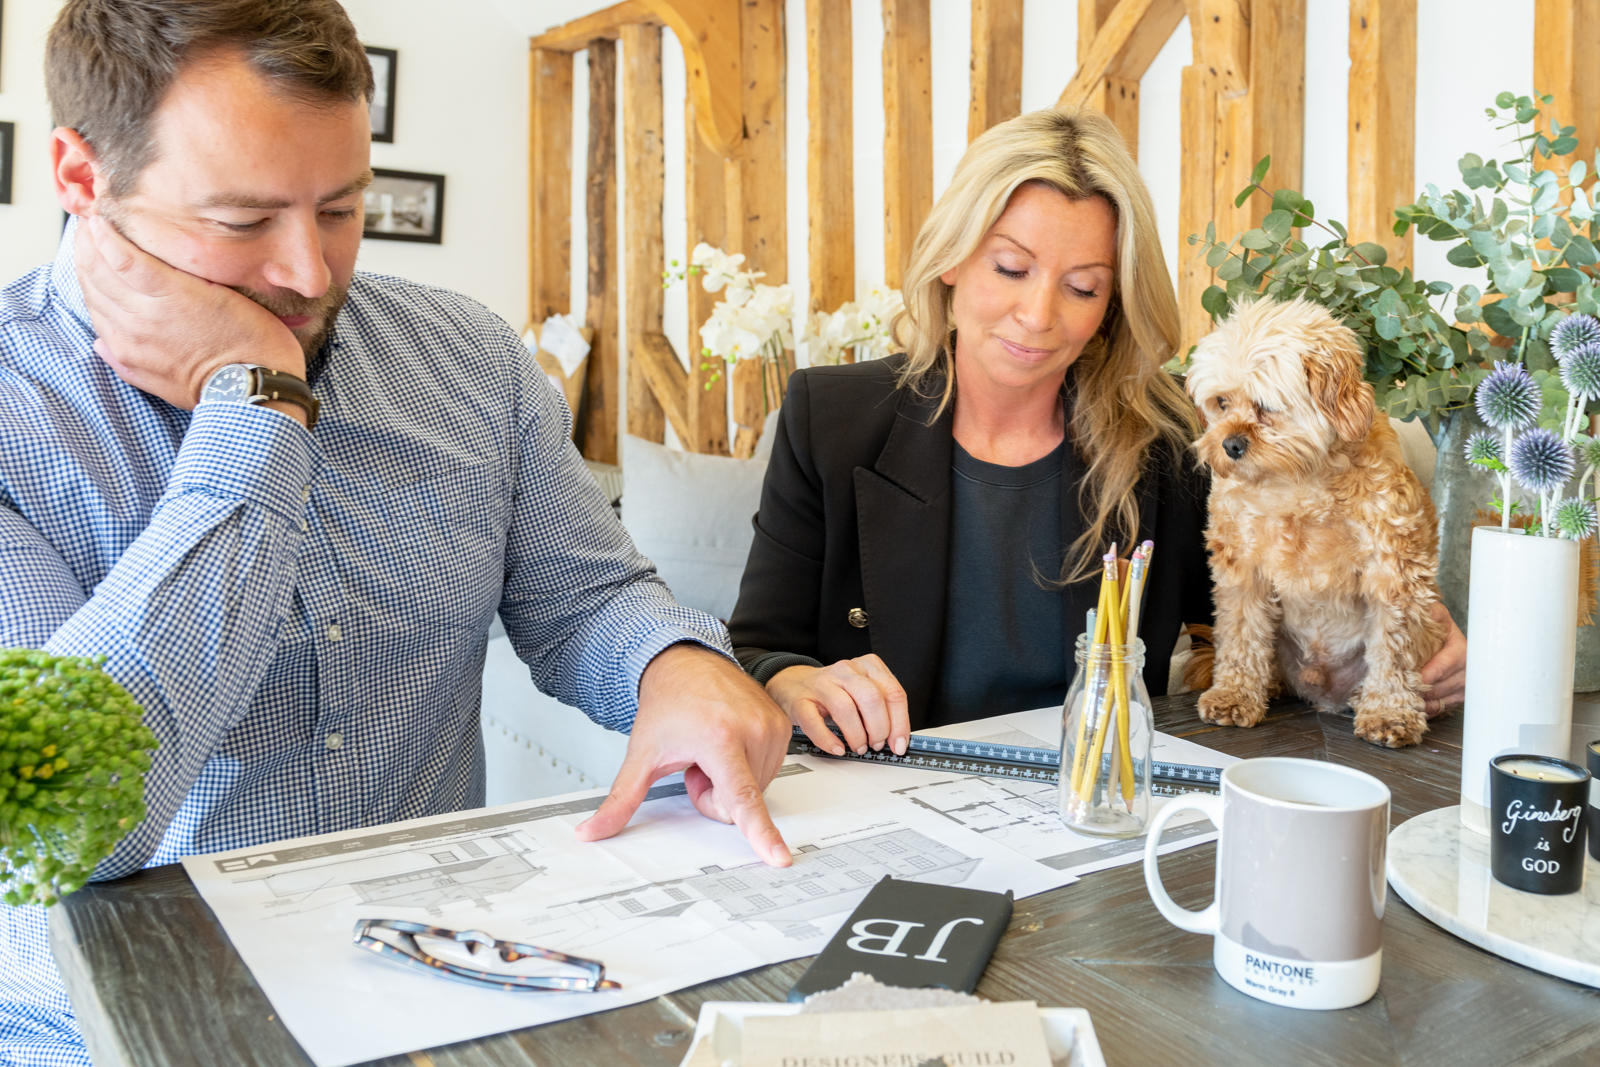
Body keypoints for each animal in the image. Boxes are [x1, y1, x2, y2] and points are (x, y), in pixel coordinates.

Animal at [1184, 295, 1446, 748]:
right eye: (1221, 403)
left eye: (1266, 406)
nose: (1229, 444)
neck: (1297, 481)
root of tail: (1325, 693)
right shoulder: (1241, 569)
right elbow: (1239, 634)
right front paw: (1234, 694)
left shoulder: (1394, 572)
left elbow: (1393, 649)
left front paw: (1390, 712)